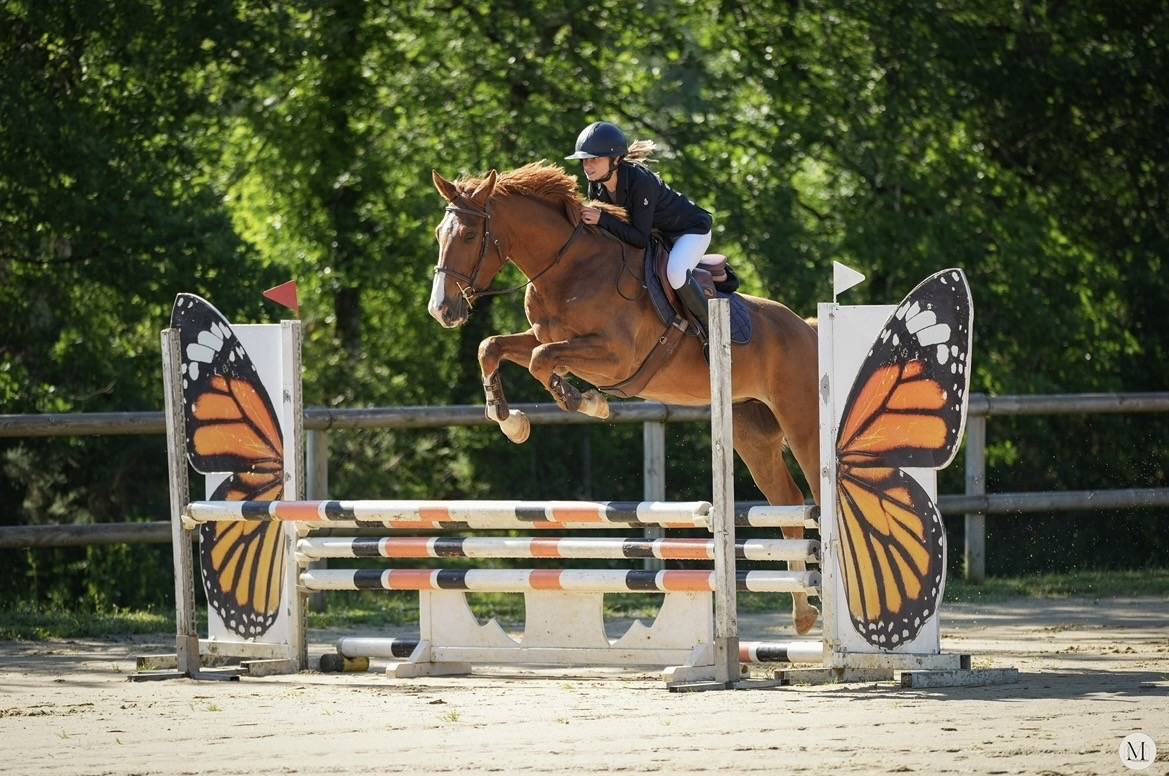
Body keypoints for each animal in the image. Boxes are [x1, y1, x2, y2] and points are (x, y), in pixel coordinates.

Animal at [427, 162, 822, 635]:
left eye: (469, 235)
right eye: (439, 233)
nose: (441, 311)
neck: (566, 266)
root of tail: (807, 328)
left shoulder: (614, 357)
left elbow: (543, 360)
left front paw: (583, 401)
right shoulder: (545, 337)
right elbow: (493, 347)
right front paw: (511, 420)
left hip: (804, 427)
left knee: (818, 499)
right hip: (752, 436)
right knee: (789, 505)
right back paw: (804, 614)